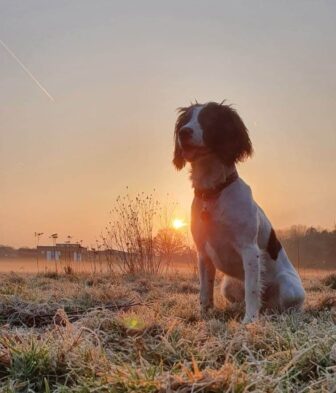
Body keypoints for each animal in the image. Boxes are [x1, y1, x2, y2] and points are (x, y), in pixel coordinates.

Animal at [173, 100, 304, 322]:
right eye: (186, 120)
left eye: (209, 119)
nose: (184, 132)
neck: (213, 192)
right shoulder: (203, 254)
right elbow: (205, 290)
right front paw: (204, 316)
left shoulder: (249, 250)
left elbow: (252, 289)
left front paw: (249, 321)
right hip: (228, 285)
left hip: (289, 287)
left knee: (281, 304)